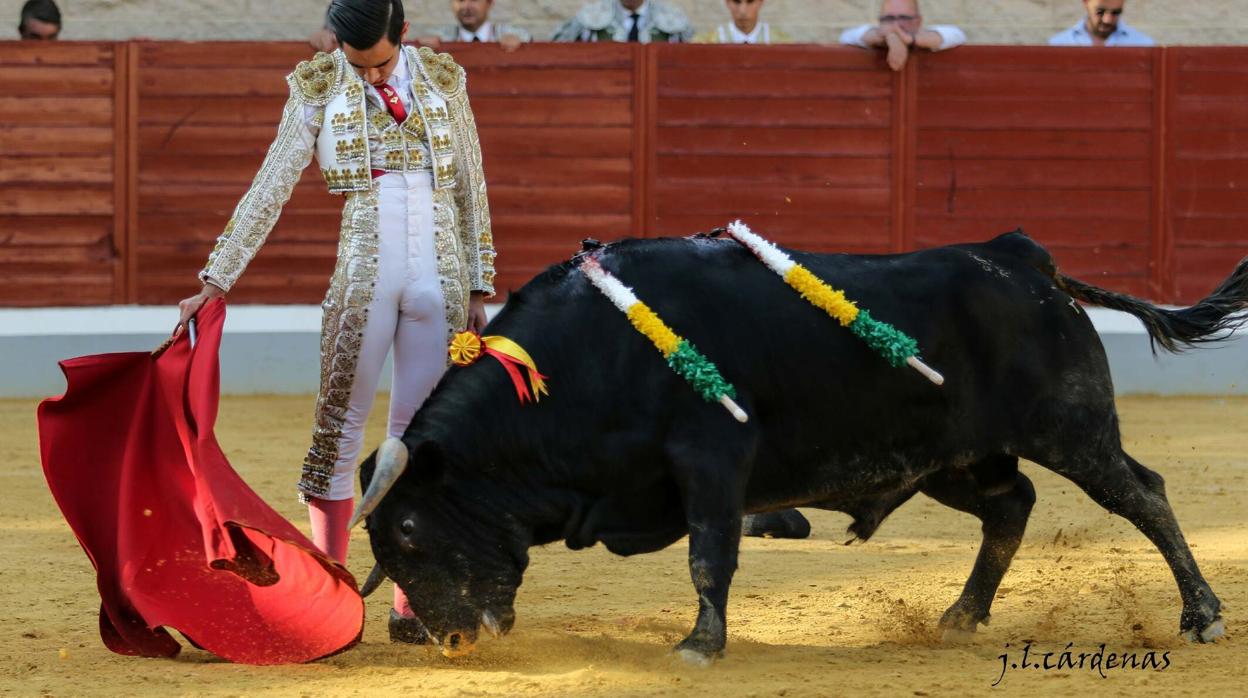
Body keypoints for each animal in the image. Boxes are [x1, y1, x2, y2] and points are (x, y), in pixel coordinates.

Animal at [354, 231, 1248, 659]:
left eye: (410, 531)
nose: (449, 641)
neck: (586, 358)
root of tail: (1019, 255)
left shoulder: (713, 459)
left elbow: (709, 553)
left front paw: (700, 645)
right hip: (951, 458)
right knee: (1012, 505)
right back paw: (961, 616)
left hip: (1072, 429)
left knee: (1141, 494)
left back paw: (1201, 616)